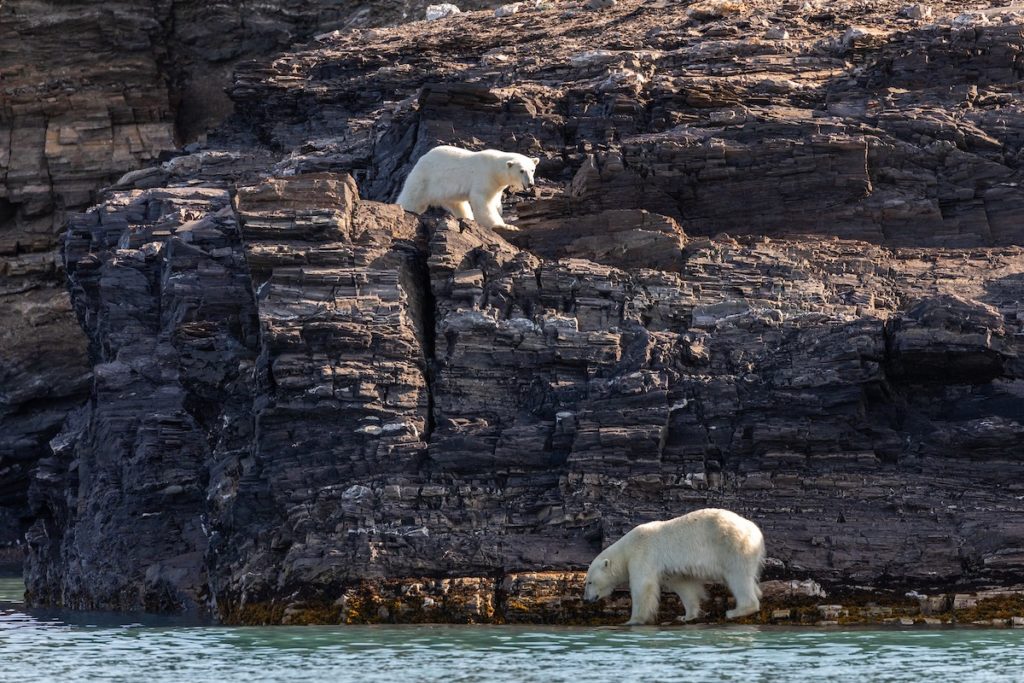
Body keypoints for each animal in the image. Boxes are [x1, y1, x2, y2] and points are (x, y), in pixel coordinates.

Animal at [393, 145, 544, 228]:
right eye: (521, 171)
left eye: (532, 170)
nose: (530, 183)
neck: (495, 168)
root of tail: (422, 158)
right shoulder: (484, 176)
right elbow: (483, 200)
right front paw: (503, 225)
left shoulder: (496, 184)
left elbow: (495, 199)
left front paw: (500, 210)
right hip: (425, 179)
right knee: (412, 198)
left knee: (458, 204)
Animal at [585, 507, 761, 626]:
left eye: (589, 582)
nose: (586, 599)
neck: (626, 549)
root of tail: (755, 530)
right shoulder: (672, 572)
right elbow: (684, 586)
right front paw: (686, 616)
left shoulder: (642, 554)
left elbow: (642, 586)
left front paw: (633, 620)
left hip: (731, 545)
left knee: (738, 576)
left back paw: (735, 611)